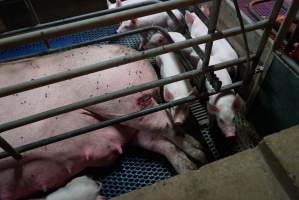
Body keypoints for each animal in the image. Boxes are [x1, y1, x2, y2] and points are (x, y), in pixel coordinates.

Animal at [0, 44, 206, 199]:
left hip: (122, 102)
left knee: (167, 126)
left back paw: (200, 155)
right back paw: (190, 167)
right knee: (159, 141)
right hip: (127, 117)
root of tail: (137, 53)